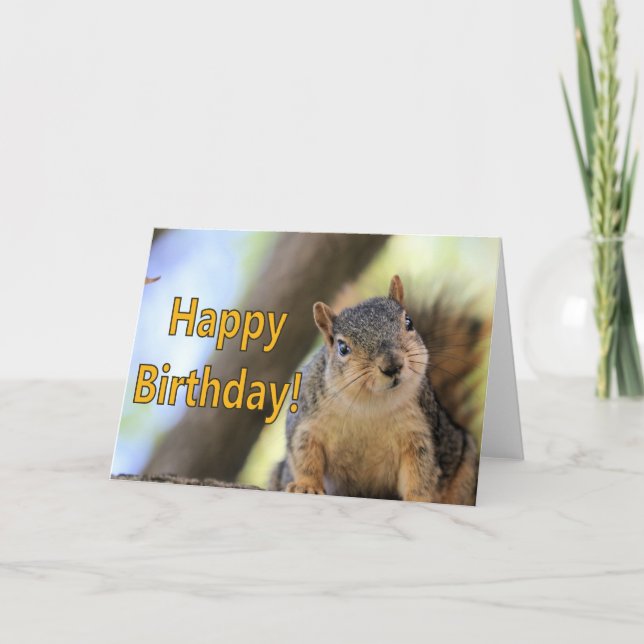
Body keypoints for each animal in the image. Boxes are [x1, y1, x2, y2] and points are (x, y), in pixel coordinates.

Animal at [268, 275, 485, 506]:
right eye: (342, 348)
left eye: (409, 322)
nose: (392, 365)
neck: (369, 404)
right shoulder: (306, 422)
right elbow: (305, 457)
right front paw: (306, 486)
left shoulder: (419, 433)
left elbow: (419, 473)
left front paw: (417, 499)